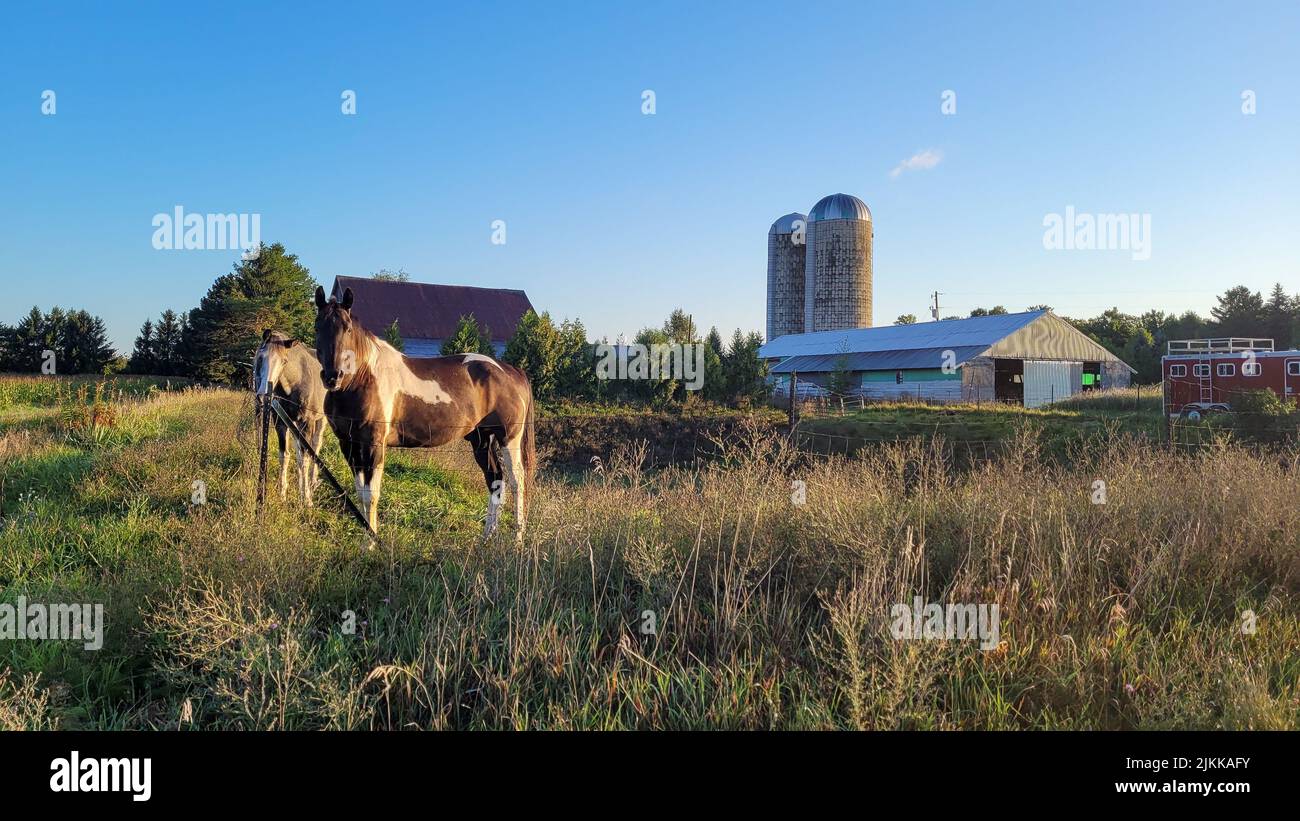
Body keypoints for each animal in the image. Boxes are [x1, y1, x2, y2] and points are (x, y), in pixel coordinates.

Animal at [253, 329, 327, 505]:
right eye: (260, 357)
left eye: (284, 361)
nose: (263, 397)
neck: (296, 382)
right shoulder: (280, 421)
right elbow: (285, 455)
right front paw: (283, 494)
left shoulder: (307, 422)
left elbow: (305, 458)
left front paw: (306, 499)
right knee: (299, 451)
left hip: (321, 420)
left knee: (316, 445)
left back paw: (312, 482)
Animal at [312, 286, 535, 541]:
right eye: (317, 326)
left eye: (347, 328)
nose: (333, 376)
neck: (362, 379)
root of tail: (511, 371)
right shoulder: (348, 444)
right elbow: (360, 494)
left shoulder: (373, 446)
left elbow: (372, 495)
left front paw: (371, 542)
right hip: (482, 439)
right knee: (495, 480)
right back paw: (486, 538)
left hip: (508, 438)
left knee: (517, 482)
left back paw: (517, 540)